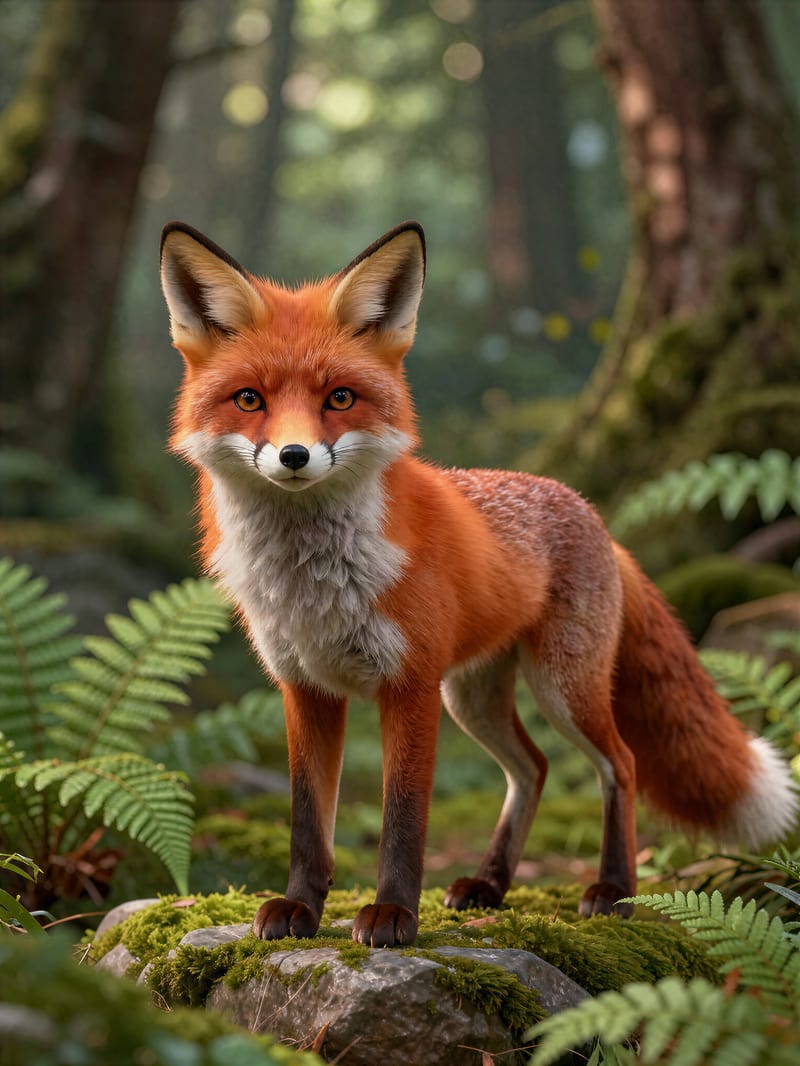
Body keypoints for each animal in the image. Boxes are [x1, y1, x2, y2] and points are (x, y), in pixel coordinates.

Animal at [160, 220, 798, 948]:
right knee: (534, 768)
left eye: (339, 398)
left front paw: (394, 915)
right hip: (474, 697)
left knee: (621, 764)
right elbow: (305, 821)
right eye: (250, 400)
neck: (312, 582)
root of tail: (591, 514)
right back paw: (490, 885)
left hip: (562, 689)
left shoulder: (409, 686)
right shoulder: (306, 688)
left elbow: (404, 818)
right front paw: (301, 907)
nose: (294, 456)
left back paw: (613, 891)